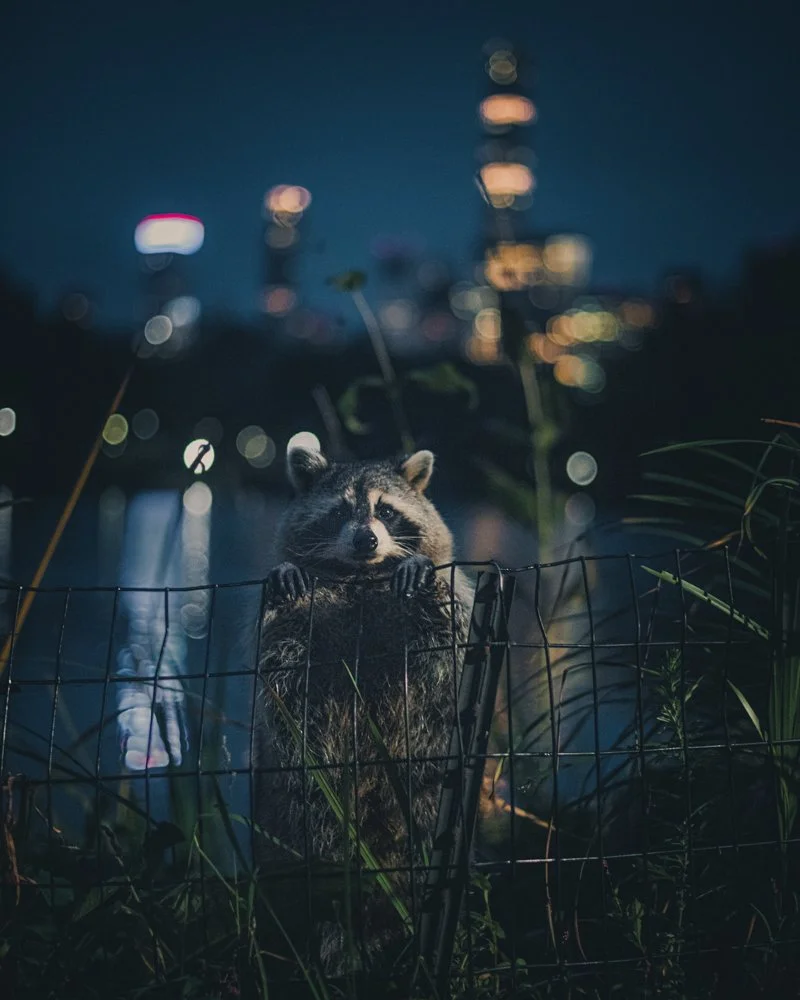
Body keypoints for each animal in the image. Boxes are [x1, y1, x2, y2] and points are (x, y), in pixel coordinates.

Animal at [254, 446, 472, 972]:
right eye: (339, 512)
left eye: (386, 511)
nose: (366, 538)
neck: (359, 576)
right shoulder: (299, 628)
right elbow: (281, 668)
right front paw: (285, 575)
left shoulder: (446, 608)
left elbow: (450, 633)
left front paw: (417, 569)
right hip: (298, 811)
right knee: (314, 841)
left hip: (427, 800)